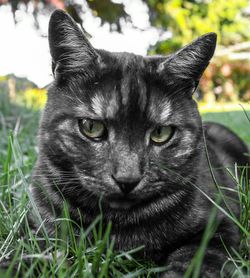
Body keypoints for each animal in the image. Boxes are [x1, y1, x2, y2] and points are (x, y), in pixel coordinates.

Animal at [30, 9, 249, 276]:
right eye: (92, 127)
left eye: (161, 133)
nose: (127, 179)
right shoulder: (39, 230)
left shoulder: (218, 226)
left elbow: (192, 263)